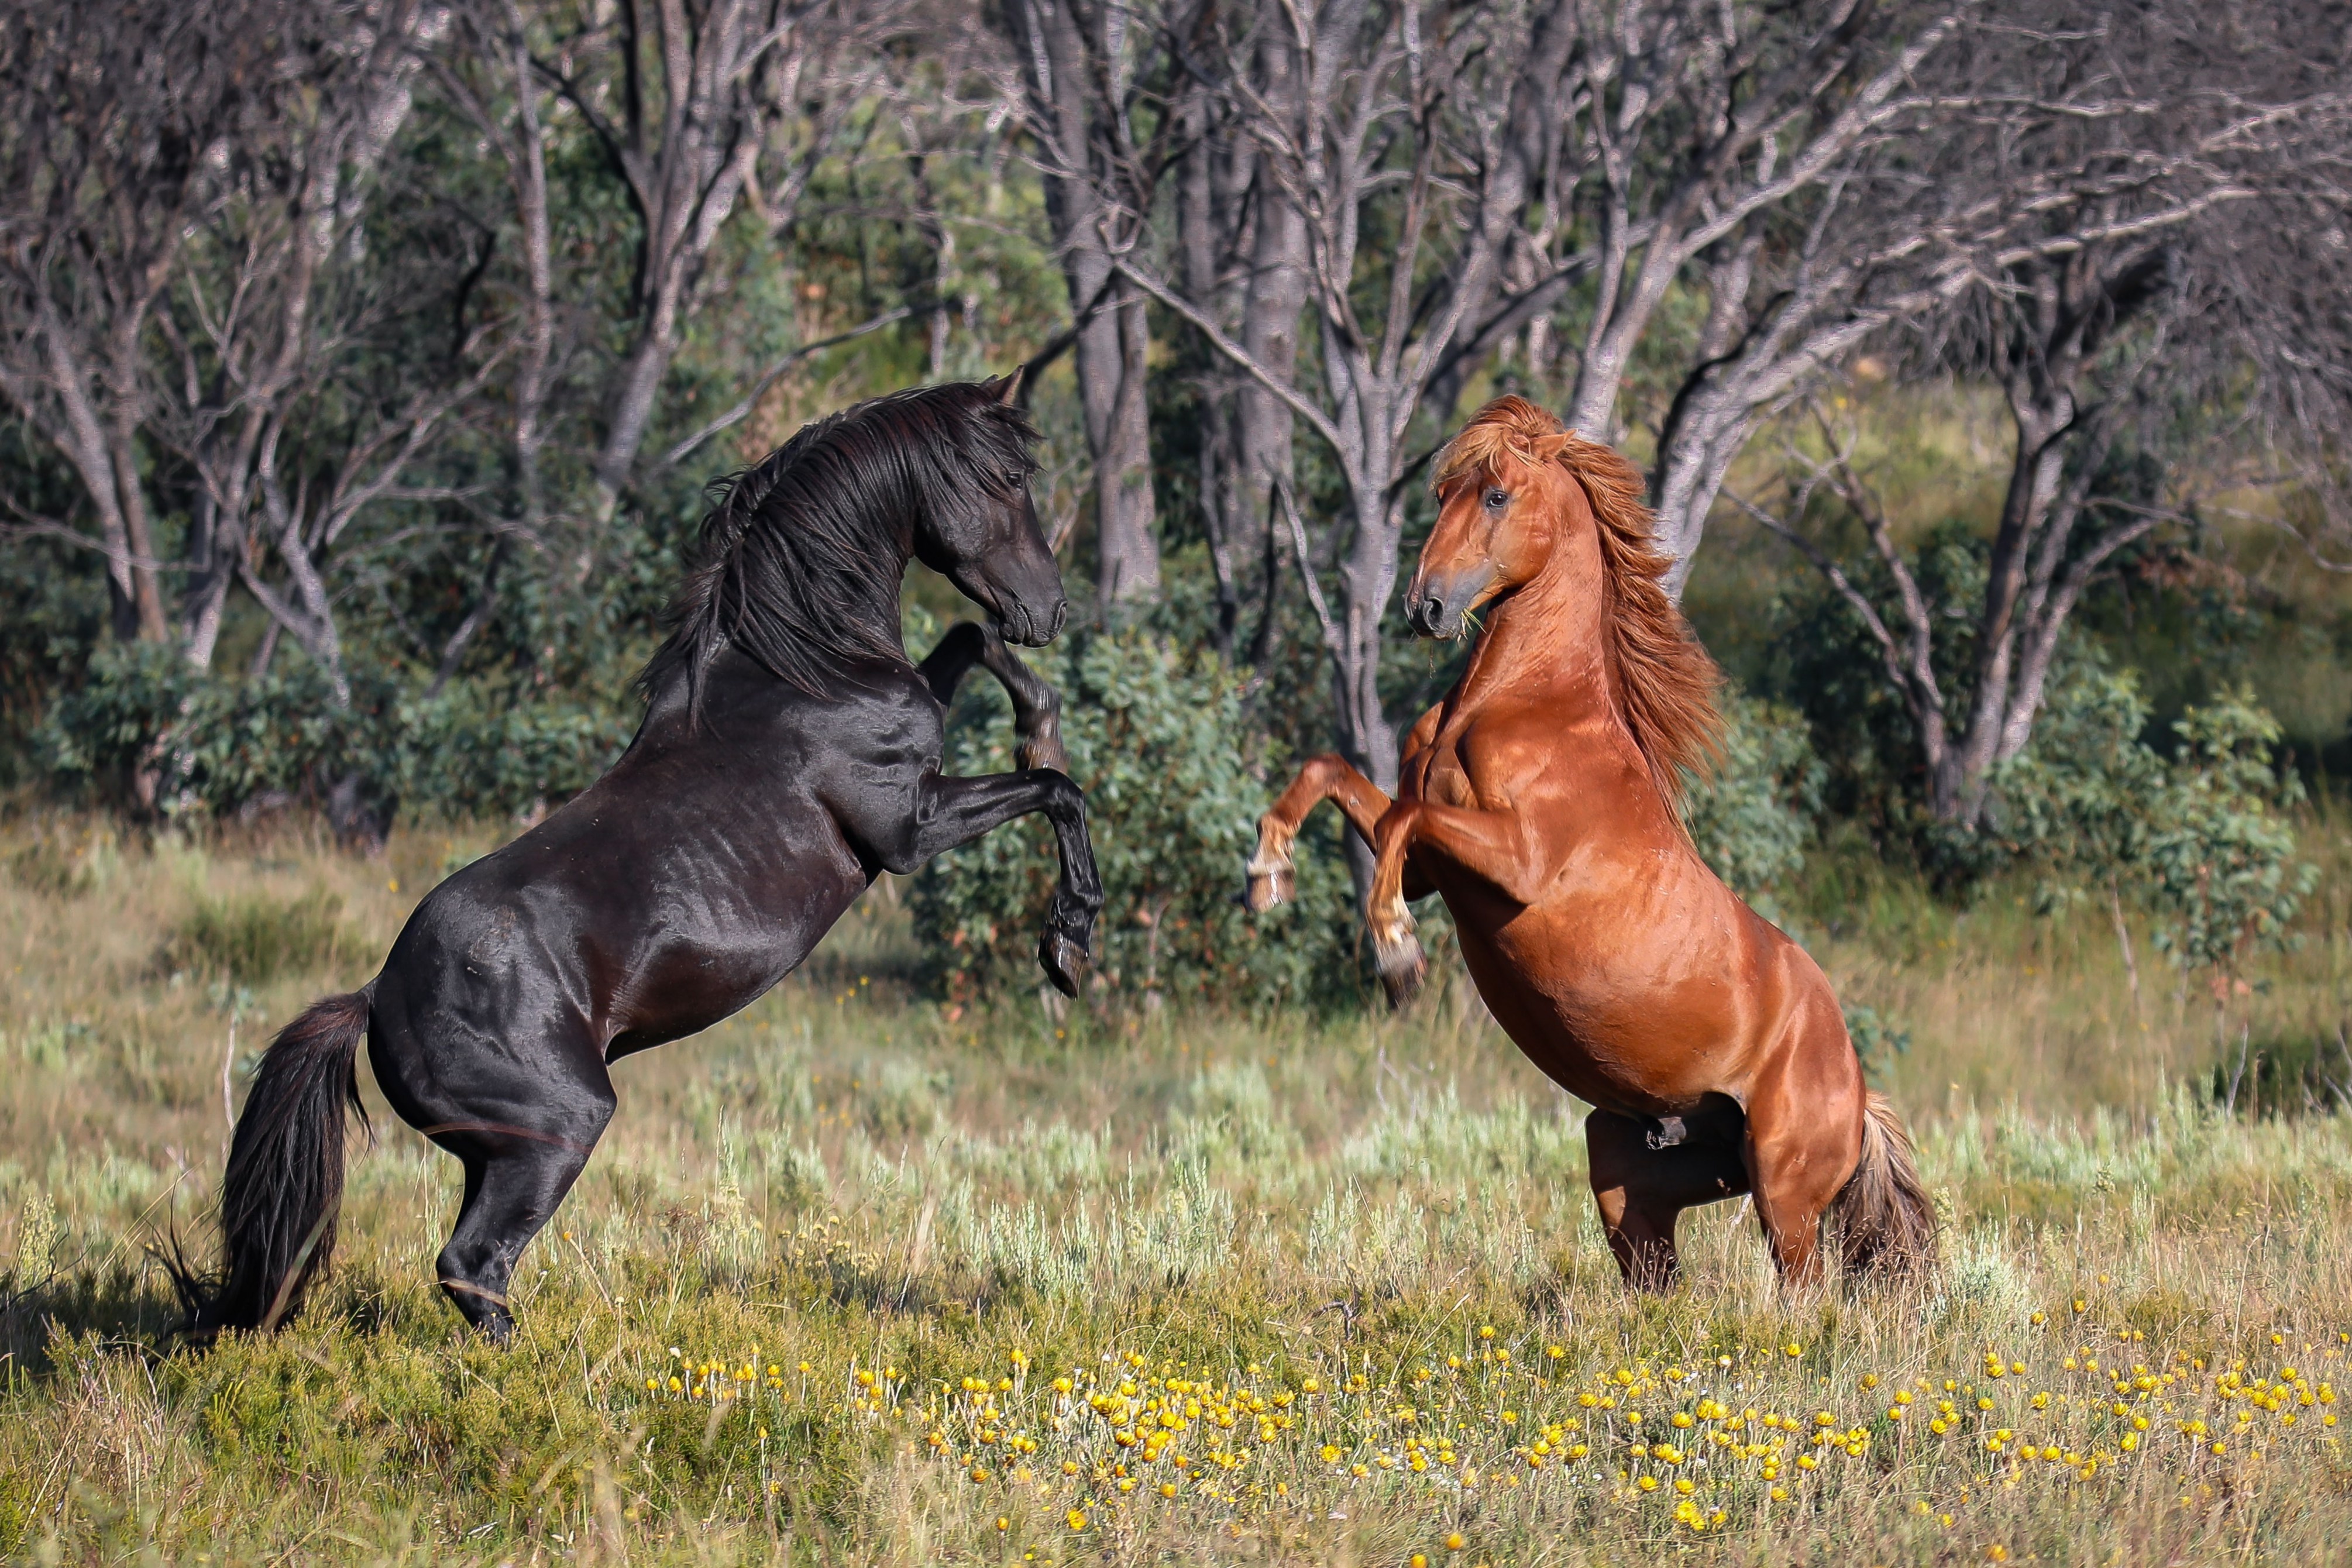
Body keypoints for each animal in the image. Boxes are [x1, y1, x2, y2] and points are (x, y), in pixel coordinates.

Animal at [192, 376, 1101, 1335]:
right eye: (1008, 479)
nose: (1050, 609)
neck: (803, 672)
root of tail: (374, 997)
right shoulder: (910, 831)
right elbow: (1057, 791)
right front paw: (1068, 945)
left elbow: (969, 642)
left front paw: (1041, 722)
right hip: (558, 1132)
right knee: (473, 1266)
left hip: (497, 1156)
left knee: (475, 1268)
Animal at [1251, 400, 1928, 1297]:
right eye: (1441, 492)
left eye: (1495, 495)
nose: (1424, 606)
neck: (1524, 702)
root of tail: (1857, 1089)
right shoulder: (1437, 869)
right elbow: (1337, 777)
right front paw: (1268, 872)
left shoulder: (1517, 862)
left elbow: (1402, 822)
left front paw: (1396, 954)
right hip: (1628, 1176)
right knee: (1657, 1282)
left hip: (1784, 1197)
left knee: (1806, 1295)